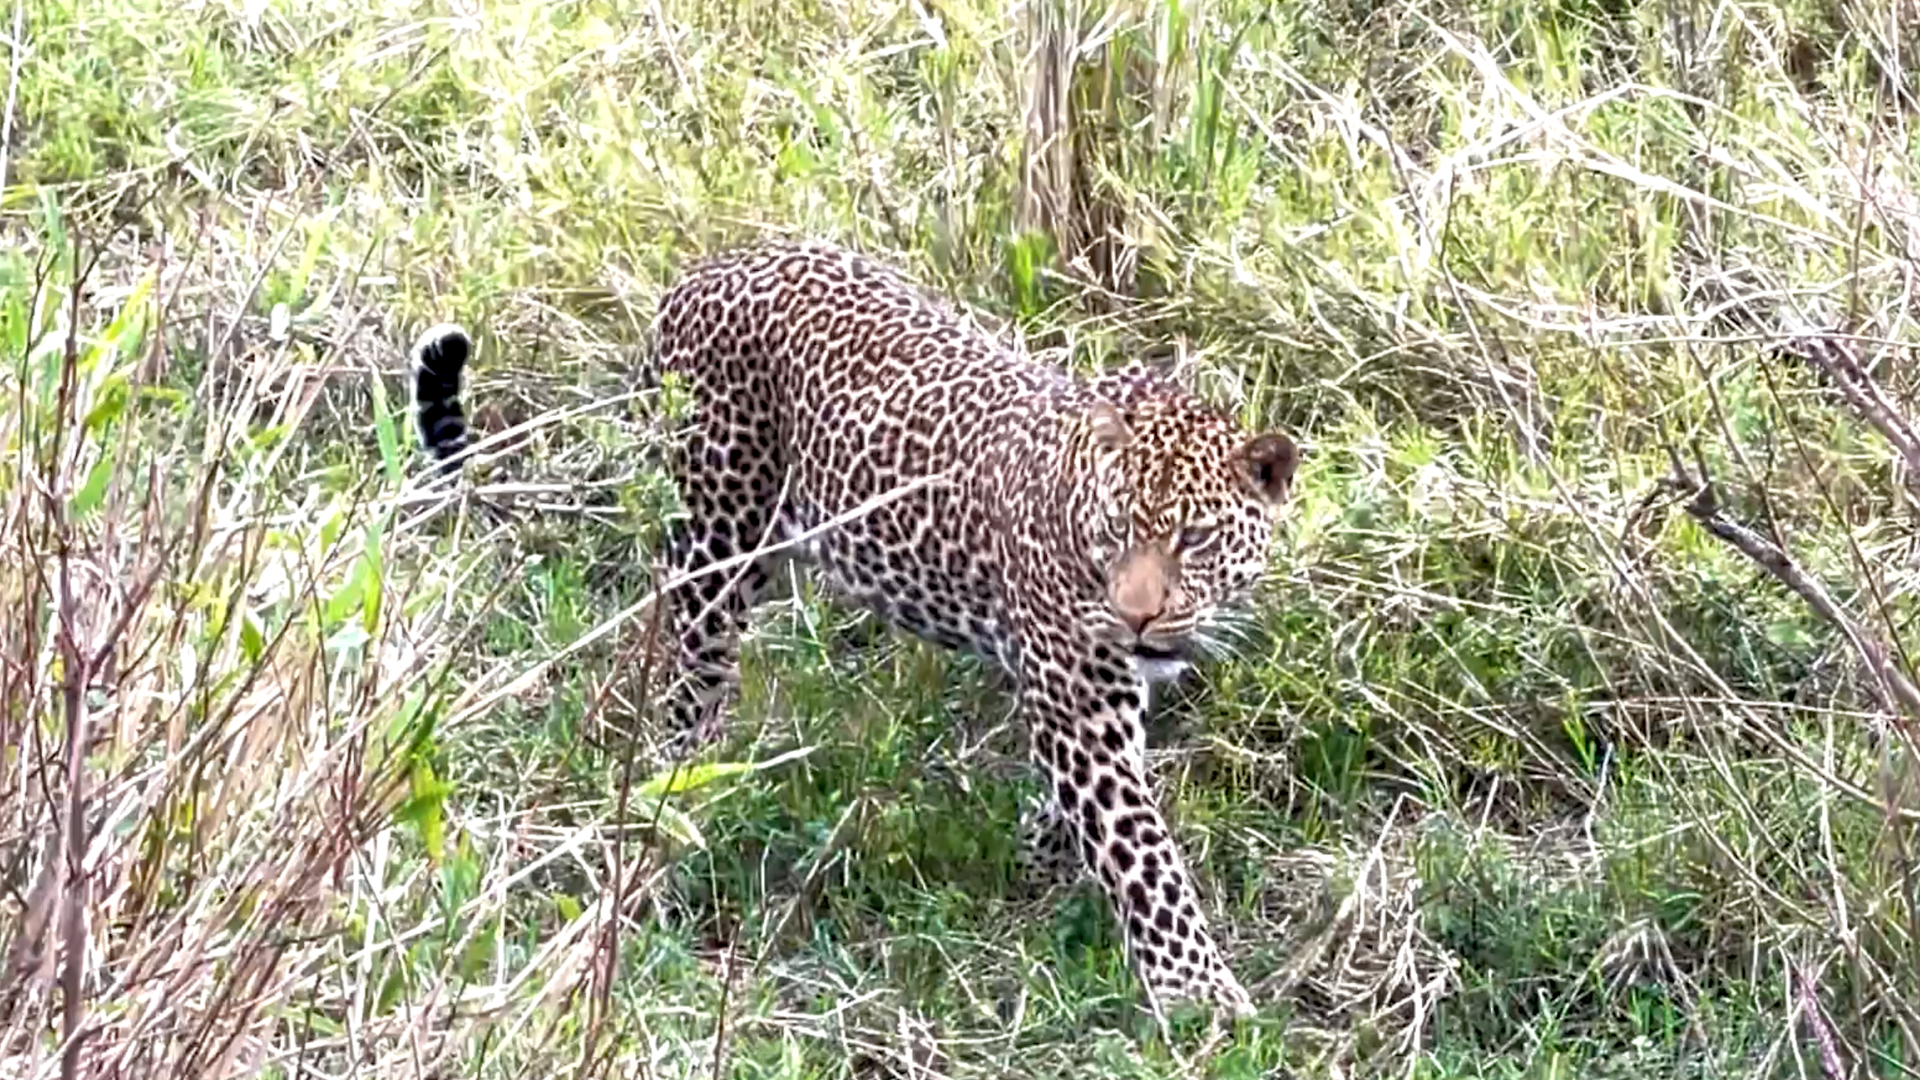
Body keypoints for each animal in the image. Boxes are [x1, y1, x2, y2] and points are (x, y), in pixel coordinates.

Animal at [408, 239, 1300, 1022]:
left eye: (1196, 539)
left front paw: (1039, 858)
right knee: (686, 674)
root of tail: (696, 275)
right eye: (1116, 530)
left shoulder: (1101, 696)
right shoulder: (1080, 705)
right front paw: (1200, 995)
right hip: (717, 541)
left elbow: (1090, 809)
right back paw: (679, 799)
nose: (1137, 614)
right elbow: (1141, 849)